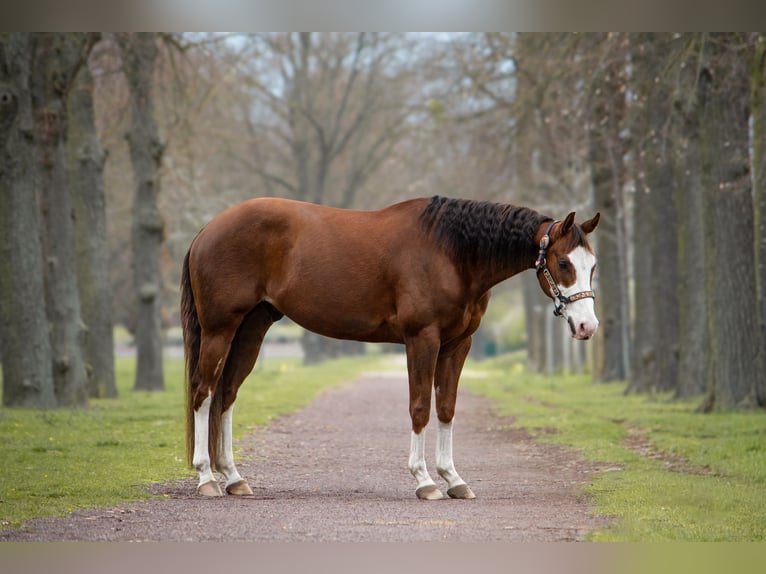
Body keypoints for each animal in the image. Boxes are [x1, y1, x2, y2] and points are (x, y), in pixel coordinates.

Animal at [181, 195, 600, 499]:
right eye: (564, 262)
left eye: (592, 266)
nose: (587, 326)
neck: (452, 253)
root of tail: (207, 230)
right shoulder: (422, 339)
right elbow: (420, 408)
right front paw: (425, 481)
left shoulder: (457, 345)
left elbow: (446, 408)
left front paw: (454, 479)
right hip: (220, 329)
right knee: (203, 393)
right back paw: (207, 478)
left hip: (251, 329)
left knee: (226, 395)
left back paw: (233, 478)